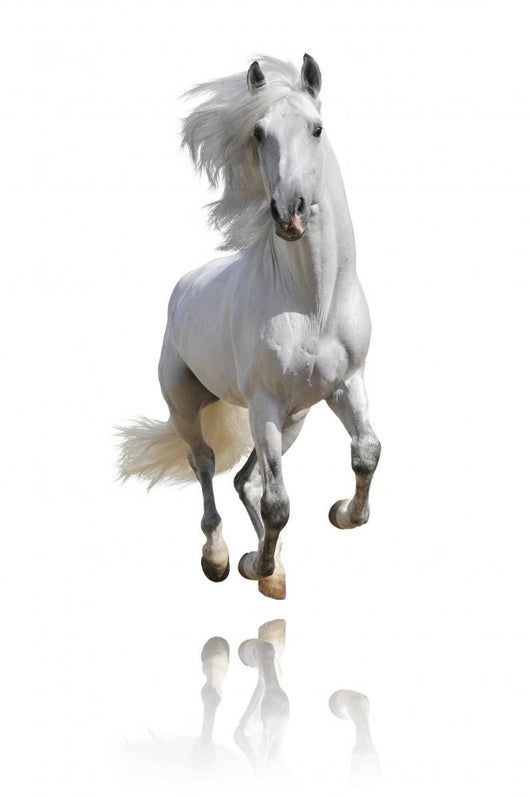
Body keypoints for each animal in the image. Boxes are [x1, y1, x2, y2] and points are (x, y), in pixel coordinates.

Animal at [118, 54, 381, 600]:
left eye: (317, 128)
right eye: (259, 133)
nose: (289, 214)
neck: (312, 302)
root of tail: (185, 286)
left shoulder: (346, 384)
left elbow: (366, 452)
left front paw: (341, 515)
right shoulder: (265, 403)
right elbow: (278, 503)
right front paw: (250, 564)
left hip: (294, 420)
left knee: (246, 481)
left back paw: (270, 570)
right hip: (188, 407)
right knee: (206, 466)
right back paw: (220, 558)